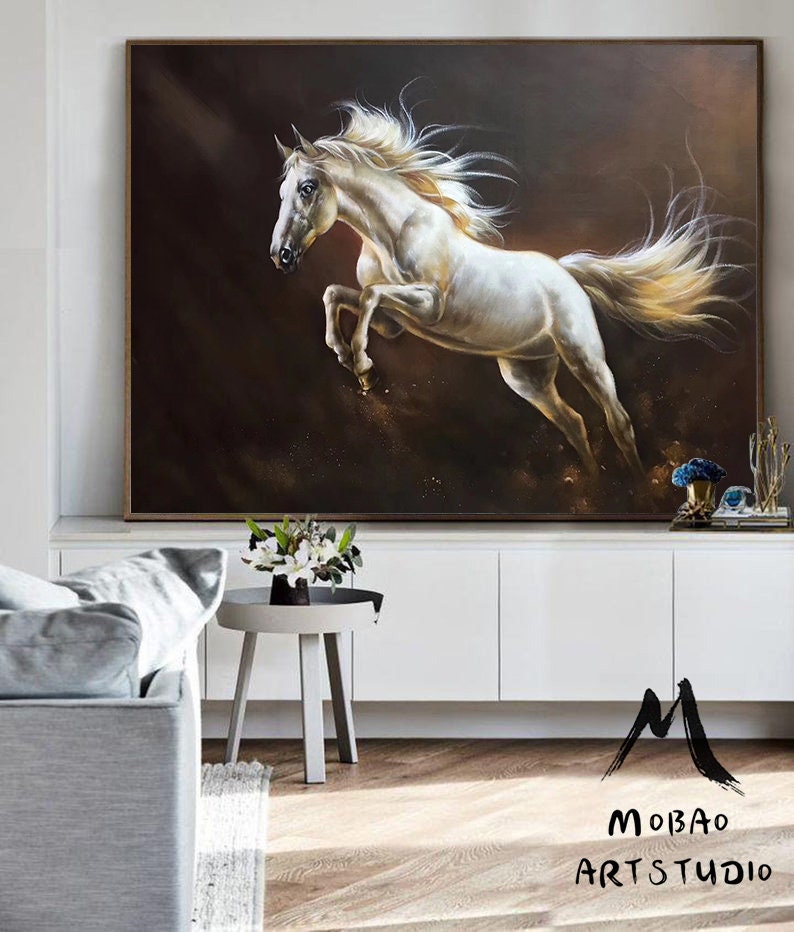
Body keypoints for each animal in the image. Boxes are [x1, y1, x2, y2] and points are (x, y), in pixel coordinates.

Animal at [270, 101, 737, 473]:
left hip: (583, 355)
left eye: (307, 188)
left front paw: (363, 365)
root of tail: (565, 272)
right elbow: (339, 294)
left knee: (617, 420)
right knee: (574, 424)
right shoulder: (394, 324)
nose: (281, 256)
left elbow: (369, 295)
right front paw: (346, 356)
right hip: (527, 375)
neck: (394, 233)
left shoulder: (429, 305)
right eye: (281, 192)